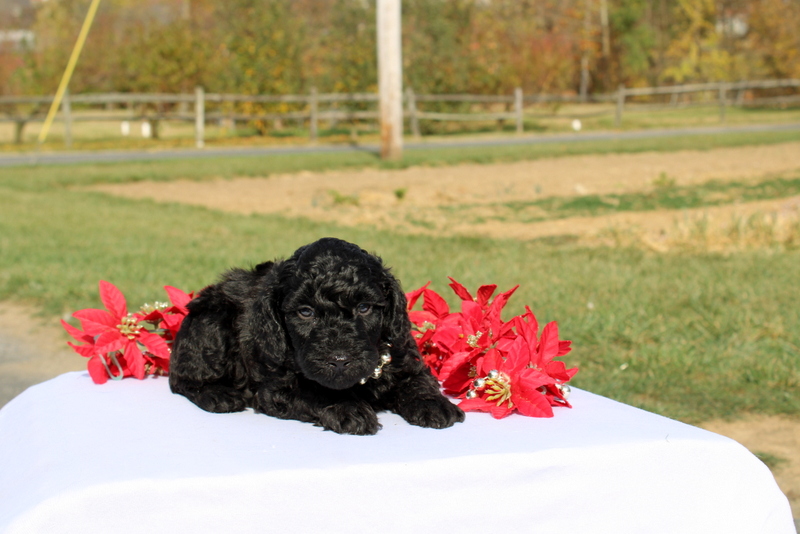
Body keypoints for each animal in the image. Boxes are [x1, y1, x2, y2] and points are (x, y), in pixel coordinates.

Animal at [172, 239, 466, 436]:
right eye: (305, 312)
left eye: (364, 307)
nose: (339, 360)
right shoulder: (276, 388)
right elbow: (316, 391)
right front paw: (349, 409)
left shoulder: (404, 351)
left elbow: (418, 381)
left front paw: (433, 404)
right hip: (209, 325)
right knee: (184, 379)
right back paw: (218, 395)